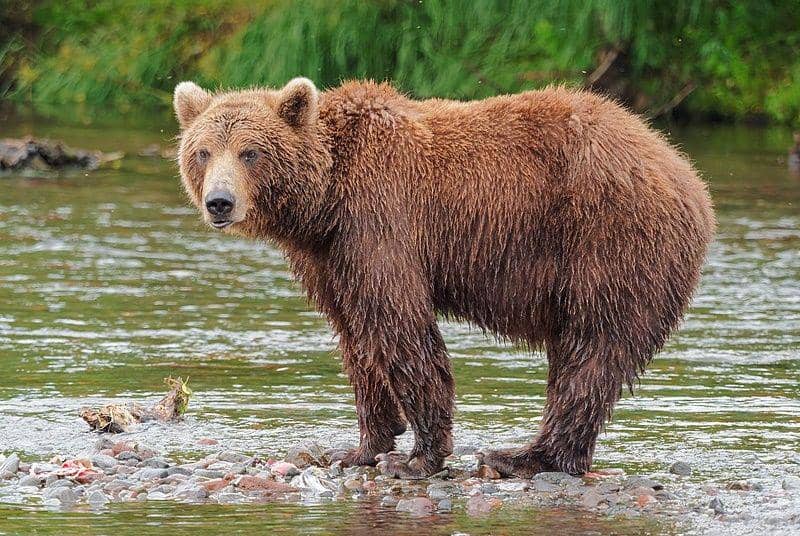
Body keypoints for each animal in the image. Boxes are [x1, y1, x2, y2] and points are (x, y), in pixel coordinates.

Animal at [173, 77, 715, 479]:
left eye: (250, 152)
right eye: (203, 151)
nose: (219, 202)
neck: (324, 200)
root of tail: (687, 174)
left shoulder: (379, 220)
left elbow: (400, 325)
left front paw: (419, 456)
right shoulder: (329, 258)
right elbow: (356, 337)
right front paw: (361, 446)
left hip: (609, 242)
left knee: (592, 350)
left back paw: (522, 456)